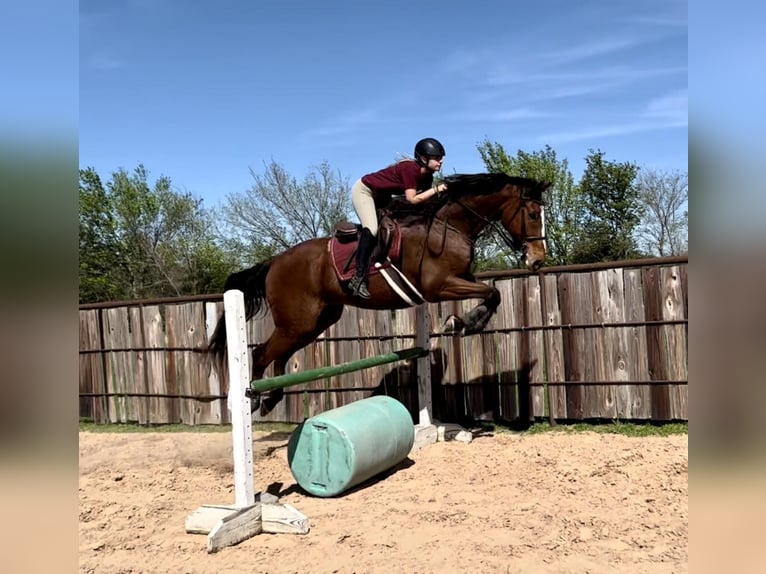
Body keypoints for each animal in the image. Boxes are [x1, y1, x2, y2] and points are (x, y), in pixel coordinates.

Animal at [207, 173, 548, 416]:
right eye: (533, 214)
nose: (537, 261)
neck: (449, 225)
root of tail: (274, 263)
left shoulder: (460, 278)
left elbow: (491, 293)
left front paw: (465, 322)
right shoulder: (438, 287)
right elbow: (492, 292)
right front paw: (462, 323)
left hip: (315, 322)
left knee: (279, 355)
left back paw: (271, 398)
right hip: (297, 321)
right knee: (261, 354)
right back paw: (253, 399)